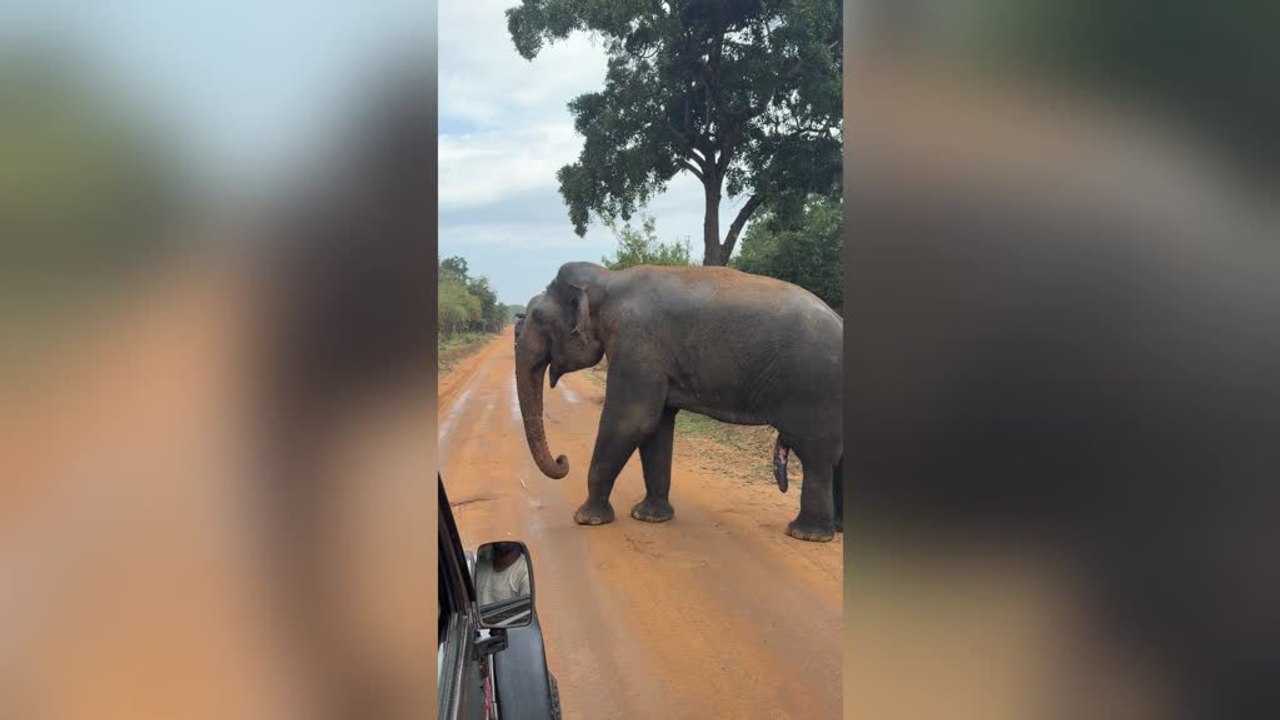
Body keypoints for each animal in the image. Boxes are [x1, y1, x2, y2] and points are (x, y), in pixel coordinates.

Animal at [514, 261, 843, 542]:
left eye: (538, 318)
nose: (563, 460)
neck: (608, 279)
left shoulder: (638, 344)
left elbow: (632, 420)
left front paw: (587, 519)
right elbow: (656, 426)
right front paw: (650, 517)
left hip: (815, 388)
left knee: (815, 454)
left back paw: (807, 534)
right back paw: (837, 529)